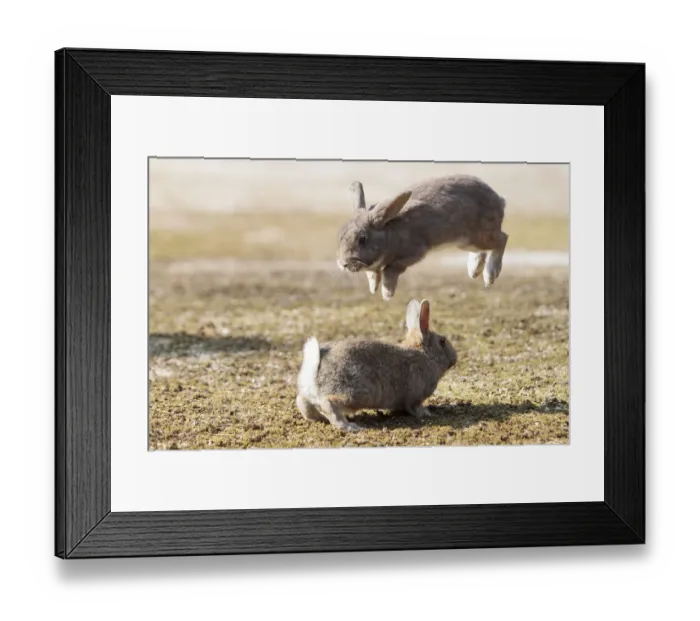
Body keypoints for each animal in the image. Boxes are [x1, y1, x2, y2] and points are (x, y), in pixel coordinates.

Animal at [296, 299, 457, 432]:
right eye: (442, 342)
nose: (455, 358)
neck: (425, 355)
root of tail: (314, 367)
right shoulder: (414, 397)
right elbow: (414, 407)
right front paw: (426, 413)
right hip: (355, 394)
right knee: (328, 403)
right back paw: (350, 427)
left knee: (304, 404)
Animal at [337, 175, 508, 300]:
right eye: (340, 236)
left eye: (362, 239)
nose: (344, 264)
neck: (389, 233)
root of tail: (499, 200)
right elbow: (372, 273)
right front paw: (373, 288)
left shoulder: (414, 252)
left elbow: (390, 269)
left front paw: (387, 293)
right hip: (467, 242)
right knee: (482, 250)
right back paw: (474, 269)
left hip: (479, 236)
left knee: (502, 239)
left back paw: (490, 274)